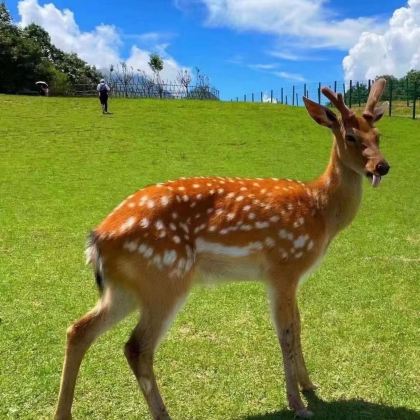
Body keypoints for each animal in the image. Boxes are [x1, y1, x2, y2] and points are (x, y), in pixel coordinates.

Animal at [55, 79, 390, 420]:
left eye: (378, 136)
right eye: (350, 136)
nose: (382, 166)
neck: (320, 211)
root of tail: (97, 239)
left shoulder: (292, 277)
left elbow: (298, 326)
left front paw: (310, 386)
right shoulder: (283, 267)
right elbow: (285, 333)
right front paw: (297, 404)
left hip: (126, 288)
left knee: (79, 329)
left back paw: (62, 413)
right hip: (165, 279)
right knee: (137, 348)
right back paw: (163, 414)